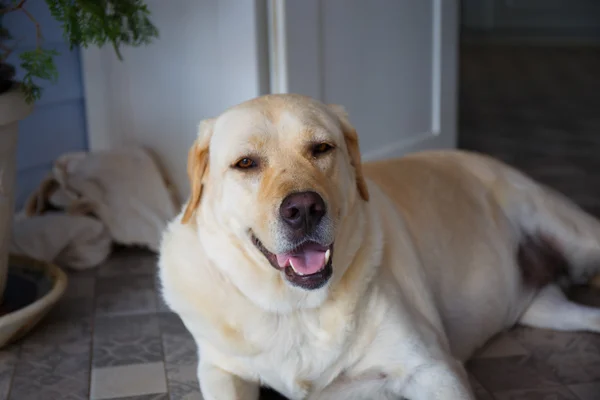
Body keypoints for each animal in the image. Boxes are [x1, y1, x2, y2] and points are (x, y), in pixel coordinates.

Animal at [158, 94, 600, 400]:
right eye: (246, 163)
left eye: (322, 148)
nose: (304, 209)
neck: (297, 310)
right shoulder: (219, 369)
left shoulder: (433, 368)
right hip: (547, 310)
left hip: (575, 235)